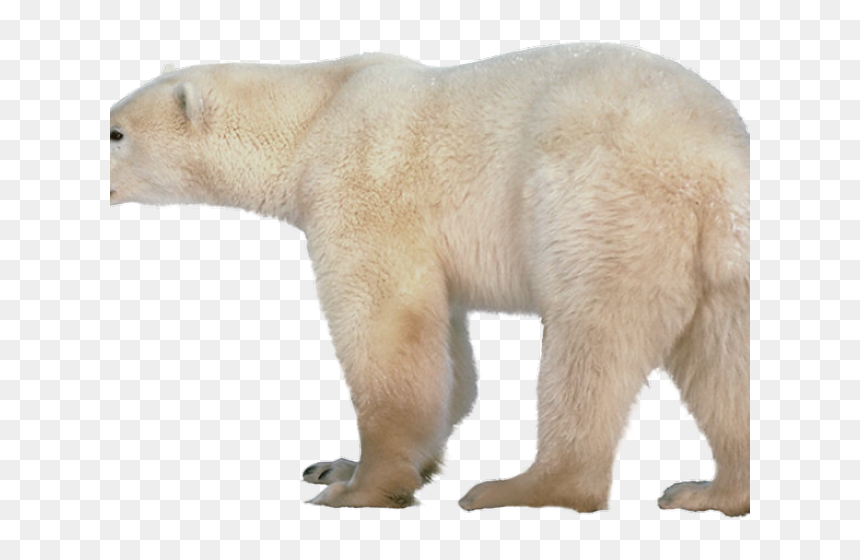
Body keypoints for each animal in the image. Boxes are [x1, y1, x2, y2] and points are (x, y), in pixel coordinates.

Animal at [110, 43, 750, 516]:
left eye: (115, 132)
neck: (317, 112)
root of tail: (716, 158)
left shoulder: (363, 186)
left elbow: (388, 327)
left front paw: (357, 488)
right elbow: (449, 358)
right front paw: (338, 464)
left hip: (604, 208)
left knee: (591, 344)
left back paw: (519, 487)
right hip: (720, 260)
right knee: (723, 362)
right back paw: (712, 492)